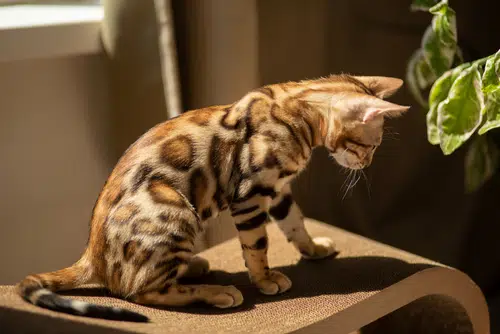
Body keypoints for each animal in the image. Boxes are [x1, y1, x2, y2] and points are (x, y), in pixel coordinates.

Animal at [16, 73, 410, 320]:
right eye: (370, 145)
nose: (366, 163)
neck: (295, 110)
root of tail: (91, 257)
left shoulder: (279, 190)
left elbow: (296, 224)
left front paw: (313, 249)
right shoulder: (251, 193)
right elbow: (257, 245)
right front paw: (265, 280)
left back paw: (194, 267)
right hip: (175, 210)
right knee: (137, 291)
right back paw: (217, 292)